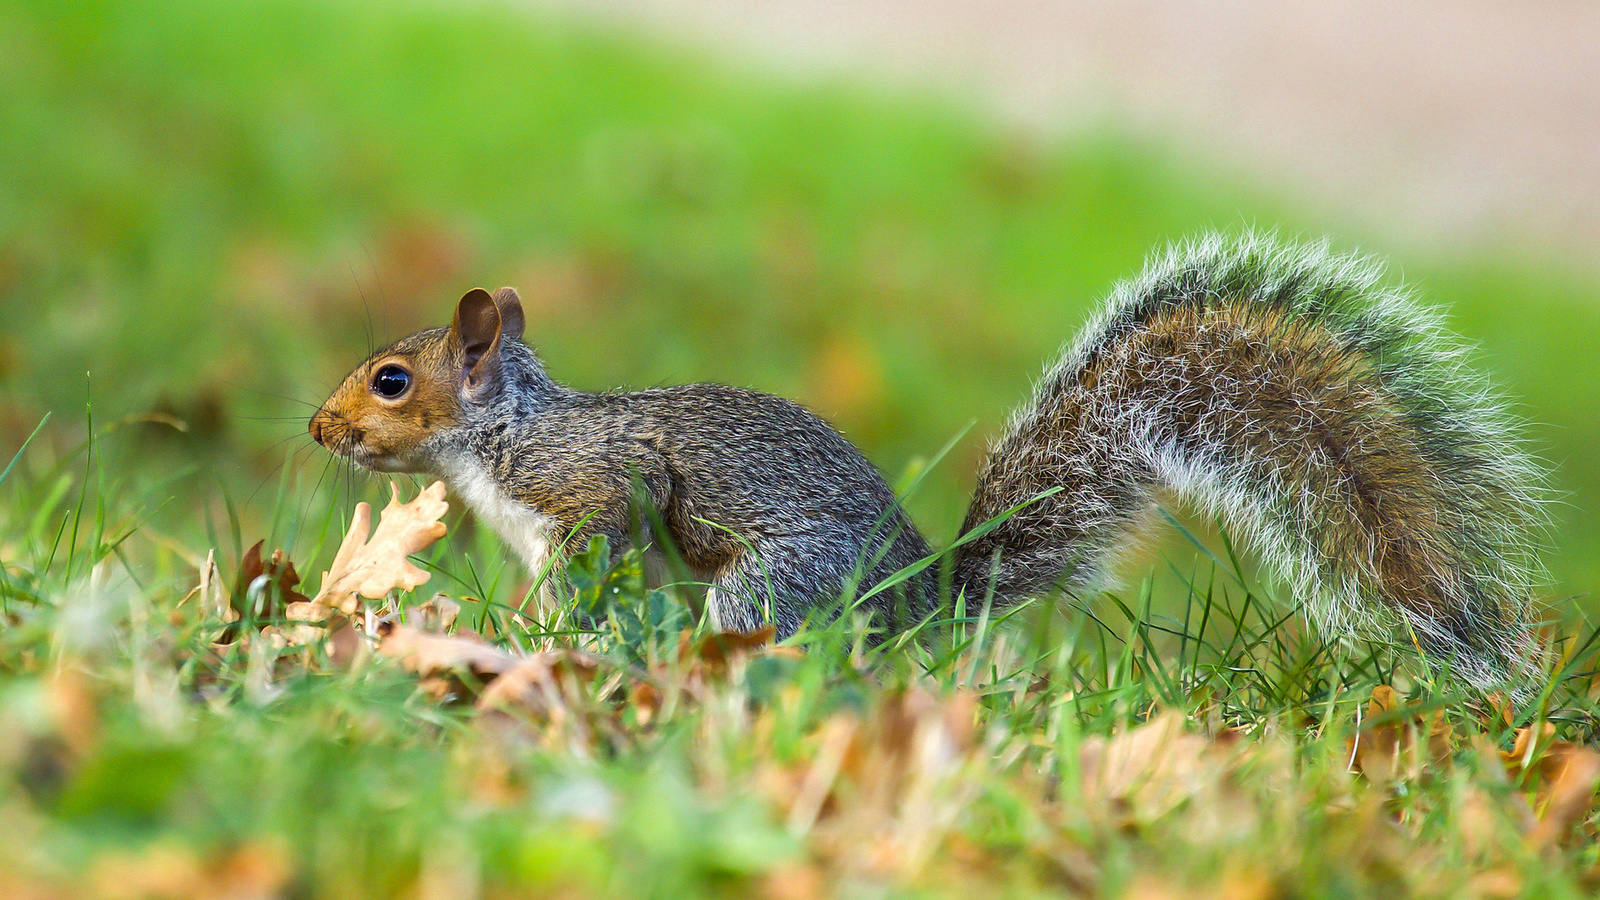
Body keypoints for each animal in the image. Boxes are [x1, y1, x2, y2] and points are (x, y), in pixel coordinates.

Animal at [305, 232, 1542, 685]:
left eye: (391, 380)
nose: (319, 431)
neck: (499, 436)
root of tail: (925, 599)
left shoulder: (595, 486)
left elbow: (612, 542)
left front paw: (548, 641)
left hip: (775, 583)